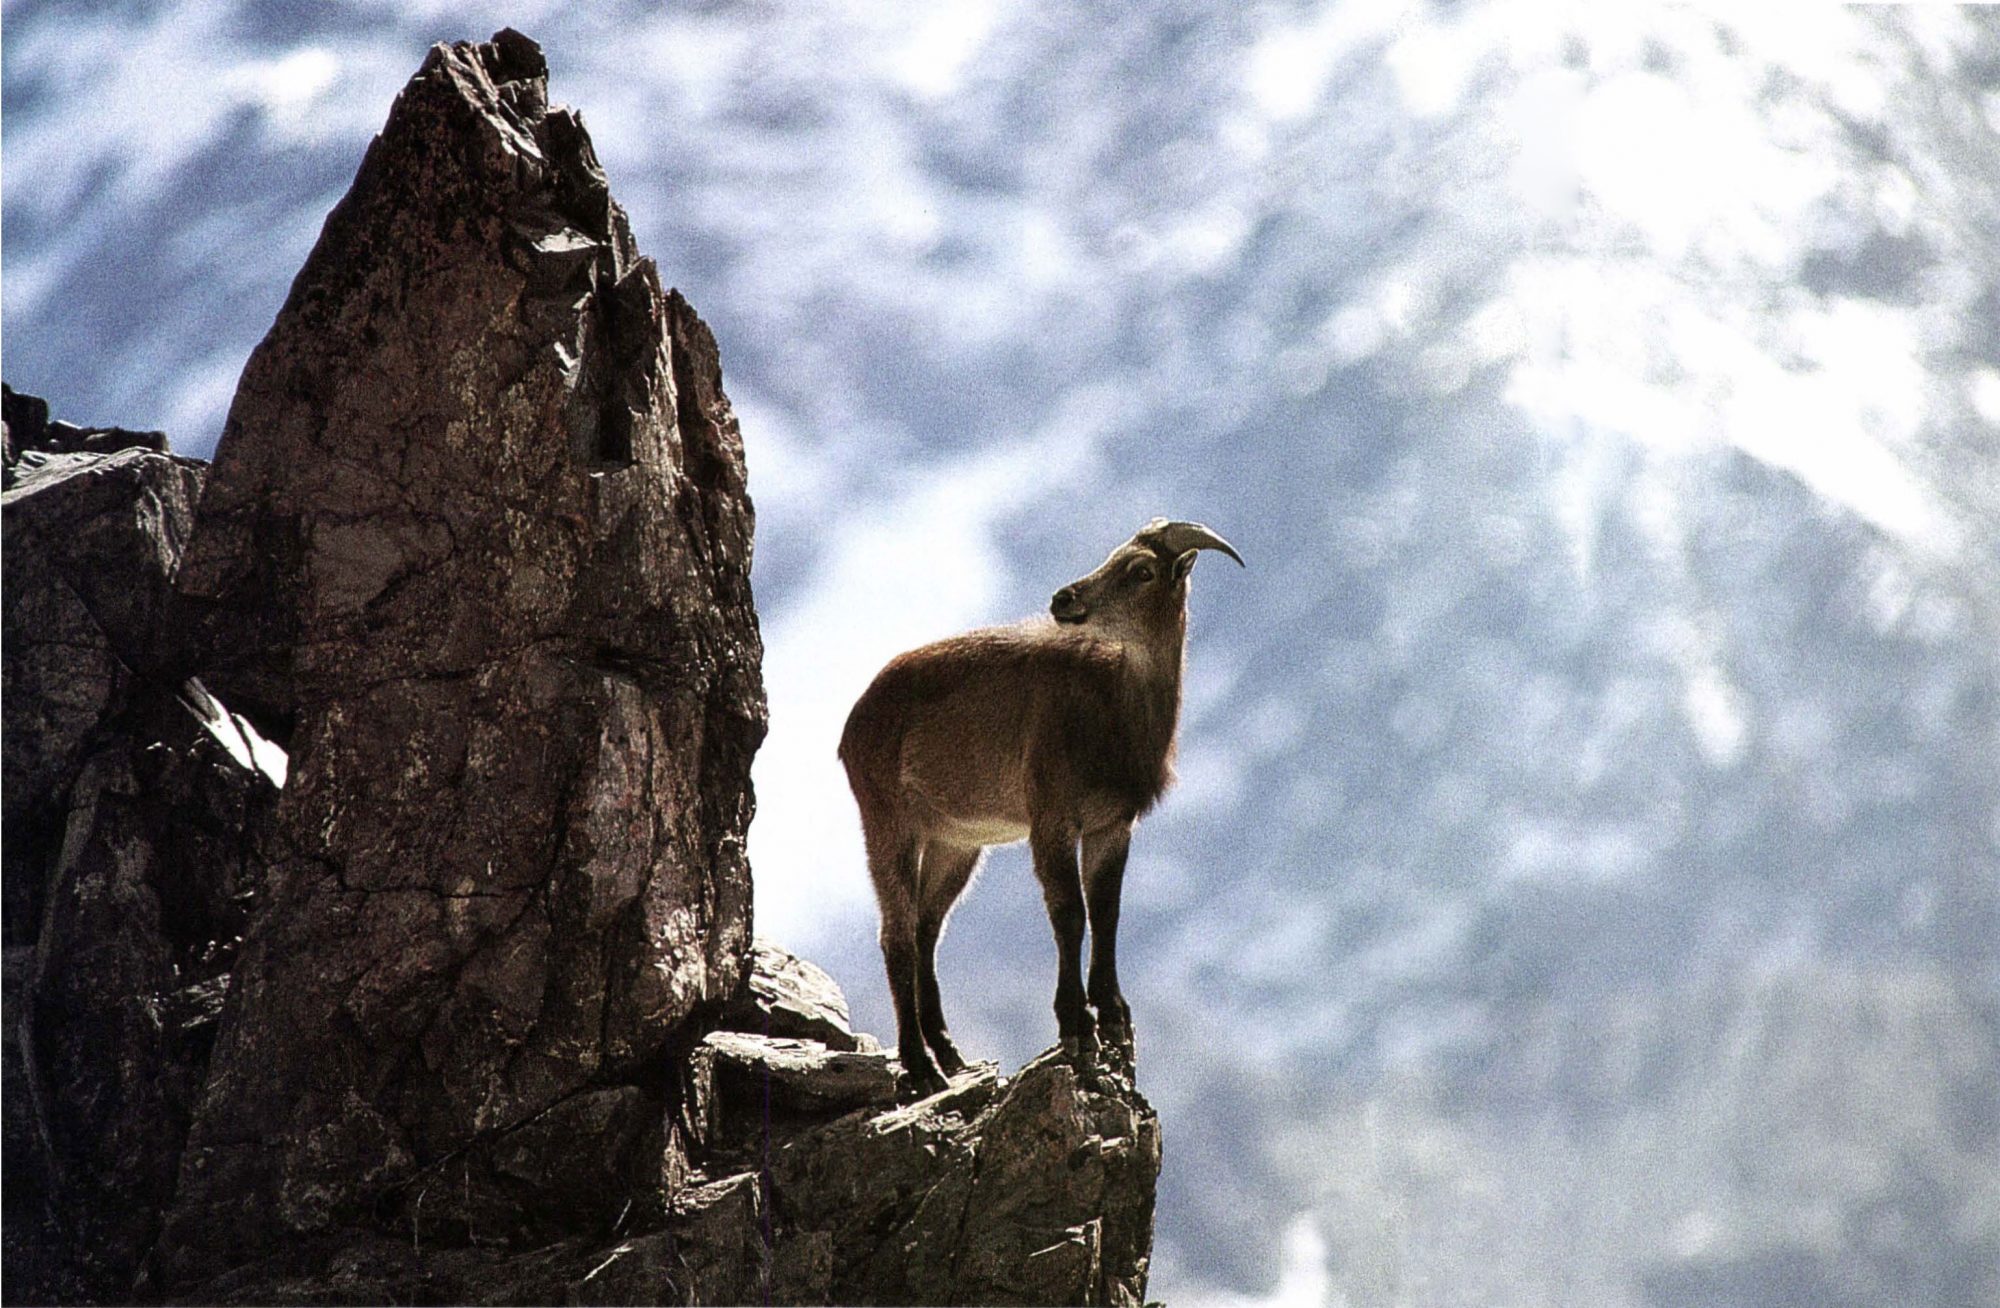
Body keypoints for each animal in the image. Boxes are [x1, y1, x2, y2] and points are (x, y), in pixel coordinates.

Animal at [836, 516, 1240, 1104]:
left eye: (1141, 570)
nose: (1063, 599)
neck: (1111, 711)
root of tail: (854, 722)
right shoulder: (1052, 818)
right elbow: (1069, 912)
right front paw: (1076, 1026)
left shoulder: (1112, 825)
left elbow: (1107, 908)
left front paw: (1113, 1013)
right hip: (887, 820)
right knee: (897, 935)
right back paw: (921, 1066)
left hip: (957, 841)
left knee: (927, 928)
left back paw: (950, 1053)